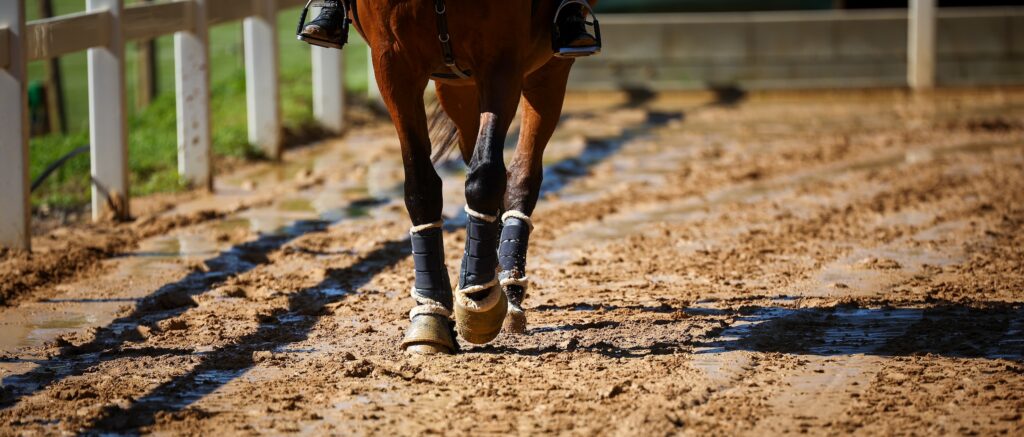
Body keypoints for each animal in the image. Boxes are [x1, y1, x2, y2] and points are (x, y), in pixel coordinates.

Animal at [347, 0, 598, 354]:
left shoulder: (502, 60)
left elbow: (485, 177)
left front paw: (478, 297)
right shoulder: (393, 62)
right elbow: (421, 184)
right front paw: (430, 317)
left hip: (547, 68)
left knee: (521, 175)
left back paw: (509, 289)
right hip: (457, 85)